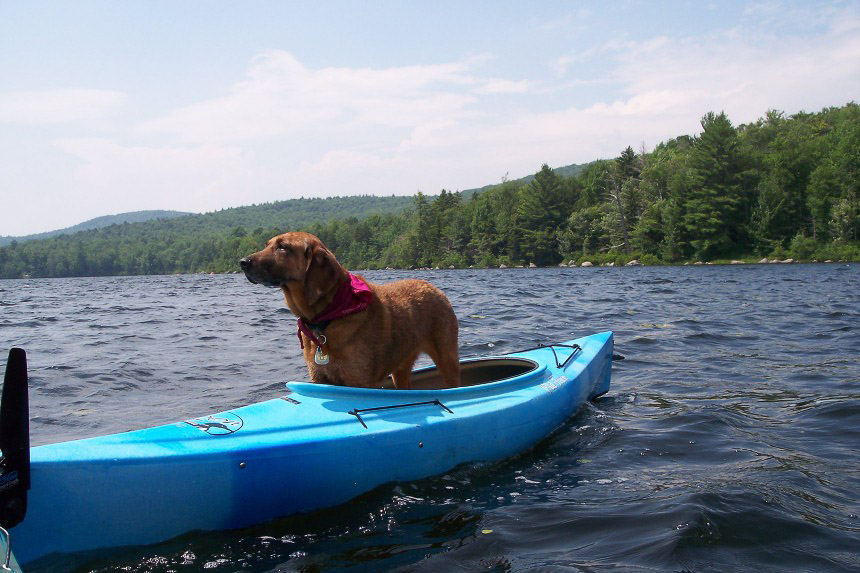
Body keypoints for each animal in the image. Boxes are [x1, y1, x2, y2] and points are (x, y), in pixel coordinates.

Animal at [239, 232, 460, 388]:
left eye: (283, 247)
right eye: (267, 244)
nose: (242, 262)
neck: (327, 315)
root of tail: (433, 287)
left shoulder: (360, 381)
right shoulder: (319, 378)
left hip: (447, 359)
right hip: (401, 367)